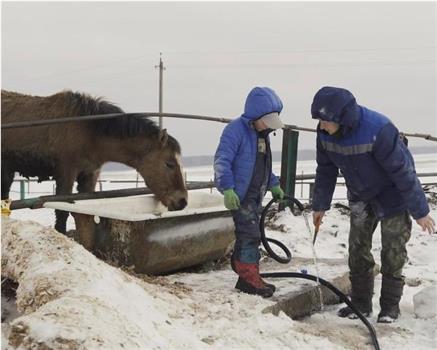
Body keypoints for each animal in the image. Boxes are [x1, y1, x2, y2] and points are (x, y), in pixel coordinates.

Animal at [2, 89, 188, 235]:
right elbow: (61, 212)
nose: (182, 202)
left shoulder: (90, 174)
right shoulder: (66, 173)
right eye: (169, 163)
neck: (89, 133)